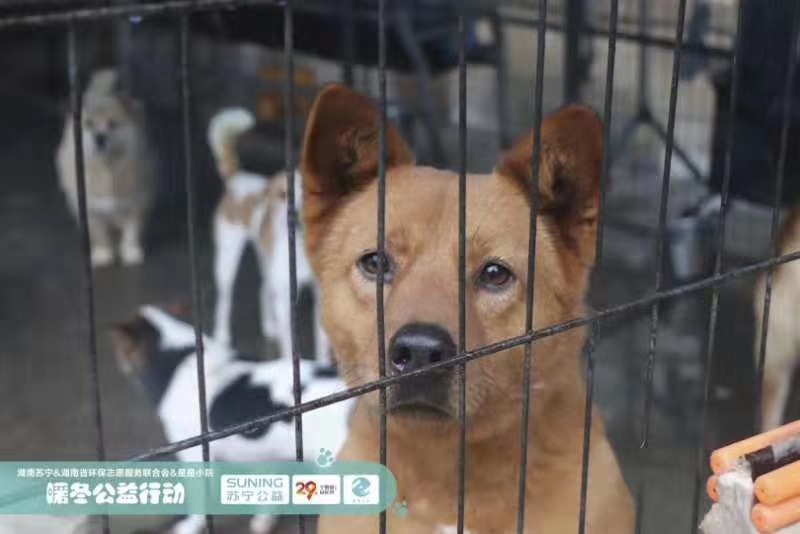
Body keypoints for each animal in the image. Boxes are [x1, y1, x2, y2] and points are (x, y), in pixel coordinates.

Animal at [56, 68, 153, 267]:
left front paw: (130, 251)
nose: (99, 137)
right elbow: (100, 234)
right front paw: (103, 253)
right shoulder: (91, 210)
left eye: (112, 124)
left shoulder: (137, 202)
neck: (106, 168)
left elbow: (132, 230)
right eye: (88, 124)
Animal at [207, 108, 331, 365]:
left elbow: (321, 340)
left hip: (265, 257)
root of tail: (237, 178)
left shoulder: (318, 296)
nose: (294, 215)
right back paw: (222, 335)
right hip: (227, 260)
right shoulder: (286, 295)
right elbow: (289, 339)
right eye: (284, 194)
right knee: (225, 299)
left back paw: (269, 325)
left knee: (263, 289)